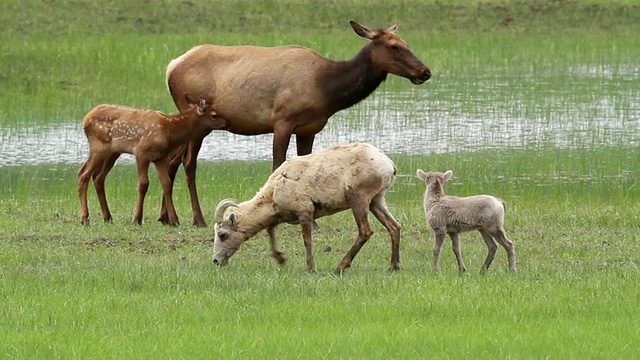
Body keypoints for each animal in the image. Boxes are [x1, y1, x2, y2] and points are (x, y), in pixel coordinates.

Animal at [77, 94, 224, 226]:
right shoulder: (141, 152)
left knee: (97, 177)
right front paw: (137, 219)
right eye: (214, 115)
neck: (169, 132)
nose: (226, 121)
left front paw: (174, 220)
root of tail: (85, 119)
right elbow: (143, 184)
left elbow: (167, 184)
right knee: (83, 174)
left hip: (112, 153)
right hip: (99, 147)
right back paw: (85, 218)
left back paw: (107, 217)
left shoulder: (160, 158)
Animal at [160, 19, 432, 226]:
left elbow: (304, 165)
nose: (425, 72)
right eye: (394, 46)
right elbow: (278, 164)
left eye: (406, 43)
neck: (327, 90)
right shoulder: (283, 120)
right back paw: (196, 218)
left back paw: (166, 217)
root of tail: (170, 67)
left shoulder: (309, 128)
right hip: (197, 119)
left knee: (172, 161)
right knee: (188, 163)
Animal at [212, 142, 400, 272]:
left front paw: (310, 268)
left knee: (365, 232)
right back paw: (393, 266)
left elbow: (307, 240)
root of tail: (388, 164)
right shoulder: (282, 216)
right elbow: (270, 230)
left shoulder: (305, 212)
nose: (215, 261)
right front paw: (281, 259)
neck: (274, 189)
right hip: (376, 201)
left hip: (359, 201)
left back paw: (340, 267)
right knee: (394, 227)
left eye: (223, 235)